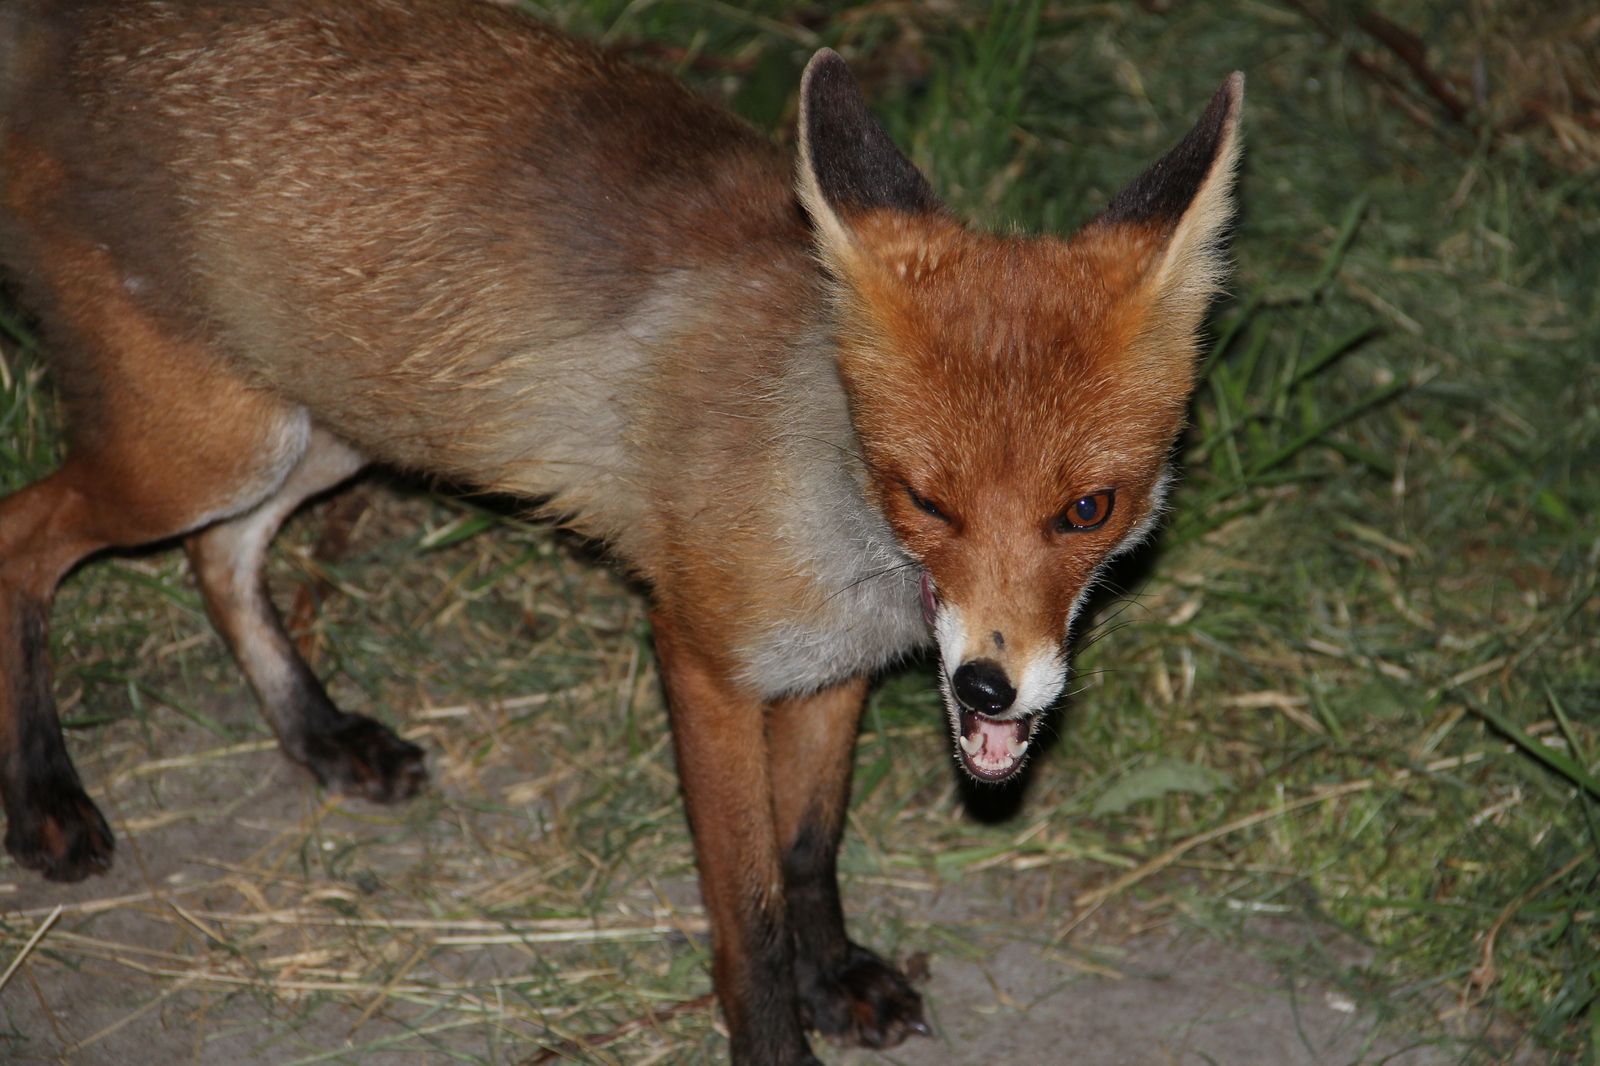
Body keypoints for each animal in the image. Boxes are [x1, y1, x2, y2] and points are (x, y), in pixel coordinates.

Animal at [0, 4, 1241, 1056]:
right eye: (925, 500)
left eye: (1087, 509)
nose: (989, 686)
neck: (834, 496)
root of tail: (75, 36)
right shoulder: (703, 660)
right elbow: (749, 919)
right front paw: (779, 1034)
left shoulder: (828, 673)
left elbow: (810, 848)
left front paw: (835, 974)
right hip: (209, 448)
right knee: (26, 536)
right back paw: (47, 796)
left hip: (338, 425)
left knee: (222, 555)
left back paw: (318, 732)